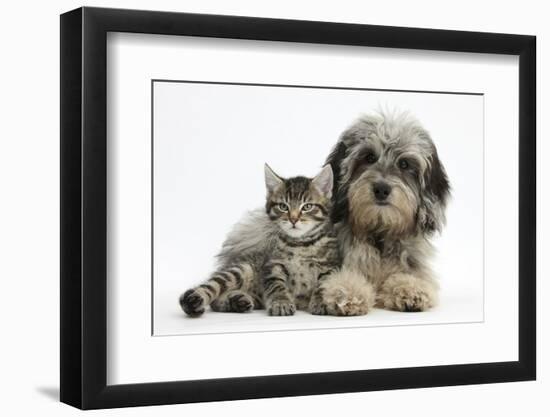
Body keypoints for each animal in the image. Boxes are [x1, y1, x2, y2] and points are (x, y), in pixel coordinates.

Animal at [181, 162, 342, 316]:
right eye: (283, 206)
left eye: (307, 206)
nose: (293, 219)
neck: (300, 244)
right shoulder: (273, 265)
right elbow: (277, 285)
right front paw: (281, 303)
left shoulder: (330, 267)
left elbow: (324, 285)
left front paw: (321, 301)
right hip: (241, 269)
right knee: (212, 288)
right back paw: (194, 300)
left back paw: (237, 301)